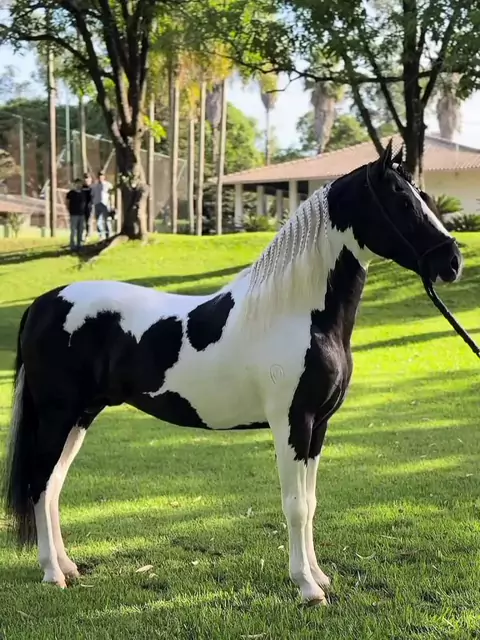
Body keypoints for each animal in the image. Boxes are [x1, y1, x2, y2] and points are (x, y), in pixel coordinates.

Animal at [2, 141, 463, 605]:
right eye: (402, 200)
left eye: (422, 194)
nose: (452, 261)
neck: (298, 313)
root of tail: (43, 303)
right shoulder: (292, 424)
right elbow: (295, 505)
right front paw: (307, 587)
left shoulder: (318, 427)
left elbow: (311, 501)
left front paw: (320, 576)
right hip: (59, 415)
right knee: (41, 483)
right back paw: (52, 574)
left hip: (81, 416)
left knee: (54, 486)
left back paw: (68, 567)